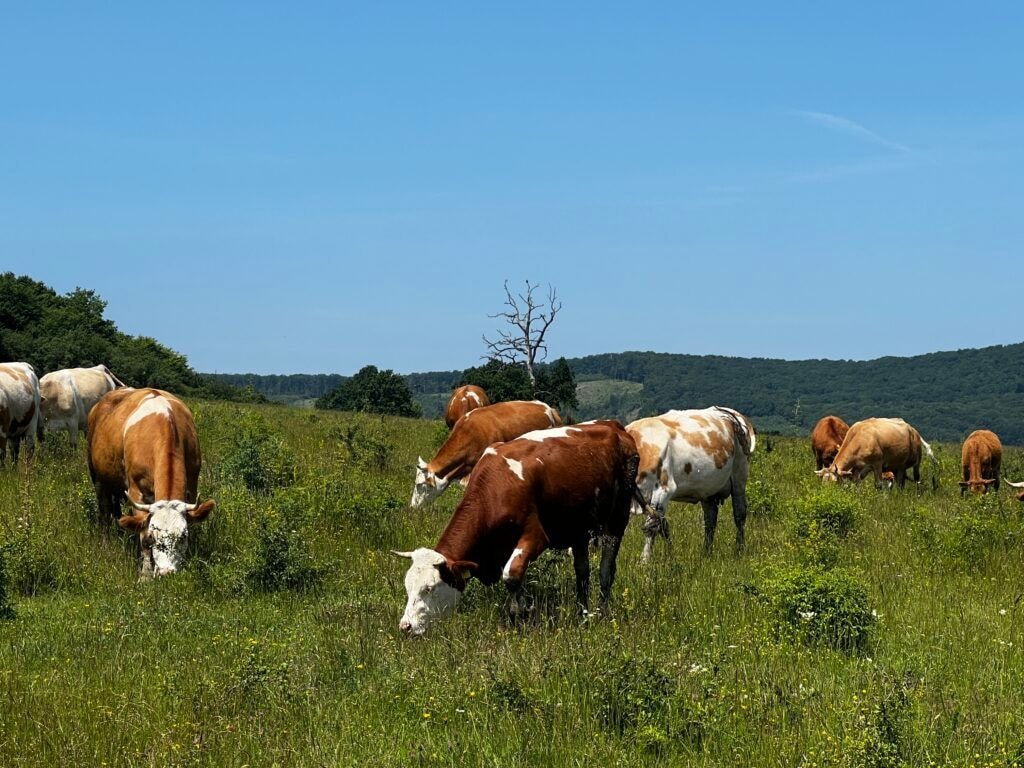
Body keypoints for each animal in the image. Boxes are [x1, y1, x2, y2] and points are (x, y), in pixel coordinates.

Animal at [87, 388, 214, 578]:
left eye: (183, 536)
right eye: (154, 537)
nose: (166, 573)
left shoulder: (192, 483)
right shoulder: (136, 491)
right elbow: (143, 536)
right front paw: (145, 575)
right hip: (97, 477)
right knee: (104, 512)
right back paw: (106, 545)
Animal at [393, 420, 640, 635]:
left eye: (430, 588)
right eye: (407, 587)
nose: (405, 626)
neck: (496, 486)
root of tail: (614, 426)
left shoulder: (535, 536)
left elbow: (511, 575)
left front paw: (520, 613)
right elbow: (517, 577)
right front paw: (524, 608)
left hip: (617, 521)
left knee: (606, 570)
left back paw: (602, 613)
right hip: (578, 528)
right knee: (582, 572)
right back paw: (582, 613)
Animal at [626, 406, 756, 561]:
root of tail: (732, 413)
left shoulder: (664, 489)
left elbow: (652, 526)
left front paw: (645, 561)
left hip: (739, 475)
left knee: (739, 514)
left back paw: (739, 550)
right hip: (708, 489)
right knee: (710, 519)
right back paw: (706, 553)